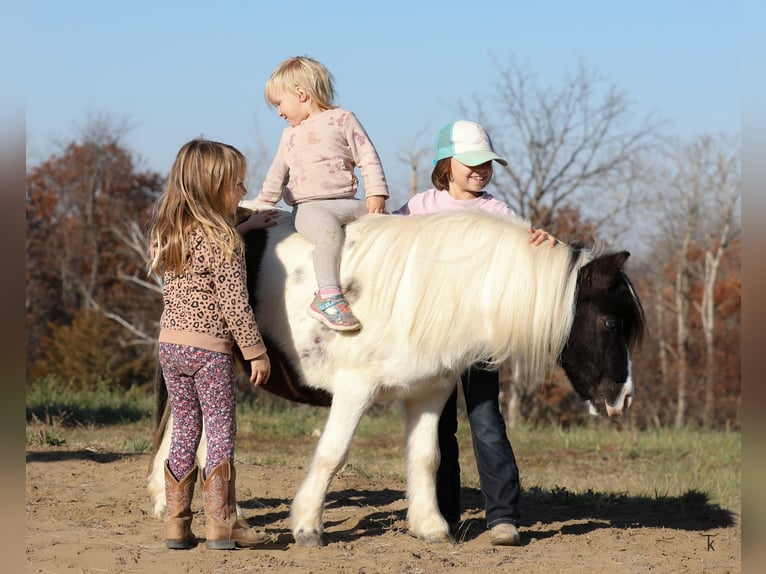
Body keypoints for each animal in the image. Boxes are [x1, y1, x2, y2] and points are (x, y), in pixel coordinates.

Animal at [148, 205, 645, 547]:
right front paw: (307, 525)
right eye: (609, 322)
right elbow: (332, 454)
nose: (623, 398)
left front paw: (430, 526)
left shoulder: (429, 392)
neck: (434, 289)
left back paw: (169, 502)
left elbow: (427, 457)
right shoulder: (355, 389)